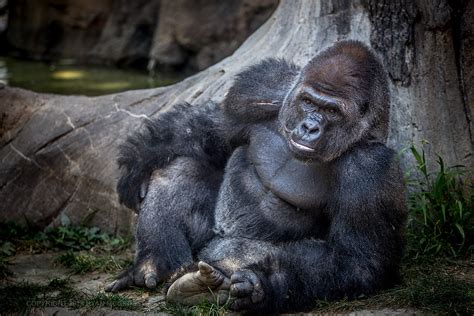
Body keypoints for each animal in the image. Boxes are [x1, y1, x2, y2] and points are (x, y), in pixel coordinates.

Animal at [105, 40, 406, 314]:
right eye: (308, 102)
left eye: (332, 111)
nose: (309, 127)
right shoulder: (261, 89)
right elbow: (214, 130)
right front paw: (141, 160)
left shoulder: (369, 170)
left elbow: (356, 262)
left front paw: (263, 287)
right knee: (183, 168)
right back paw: (155, 261)